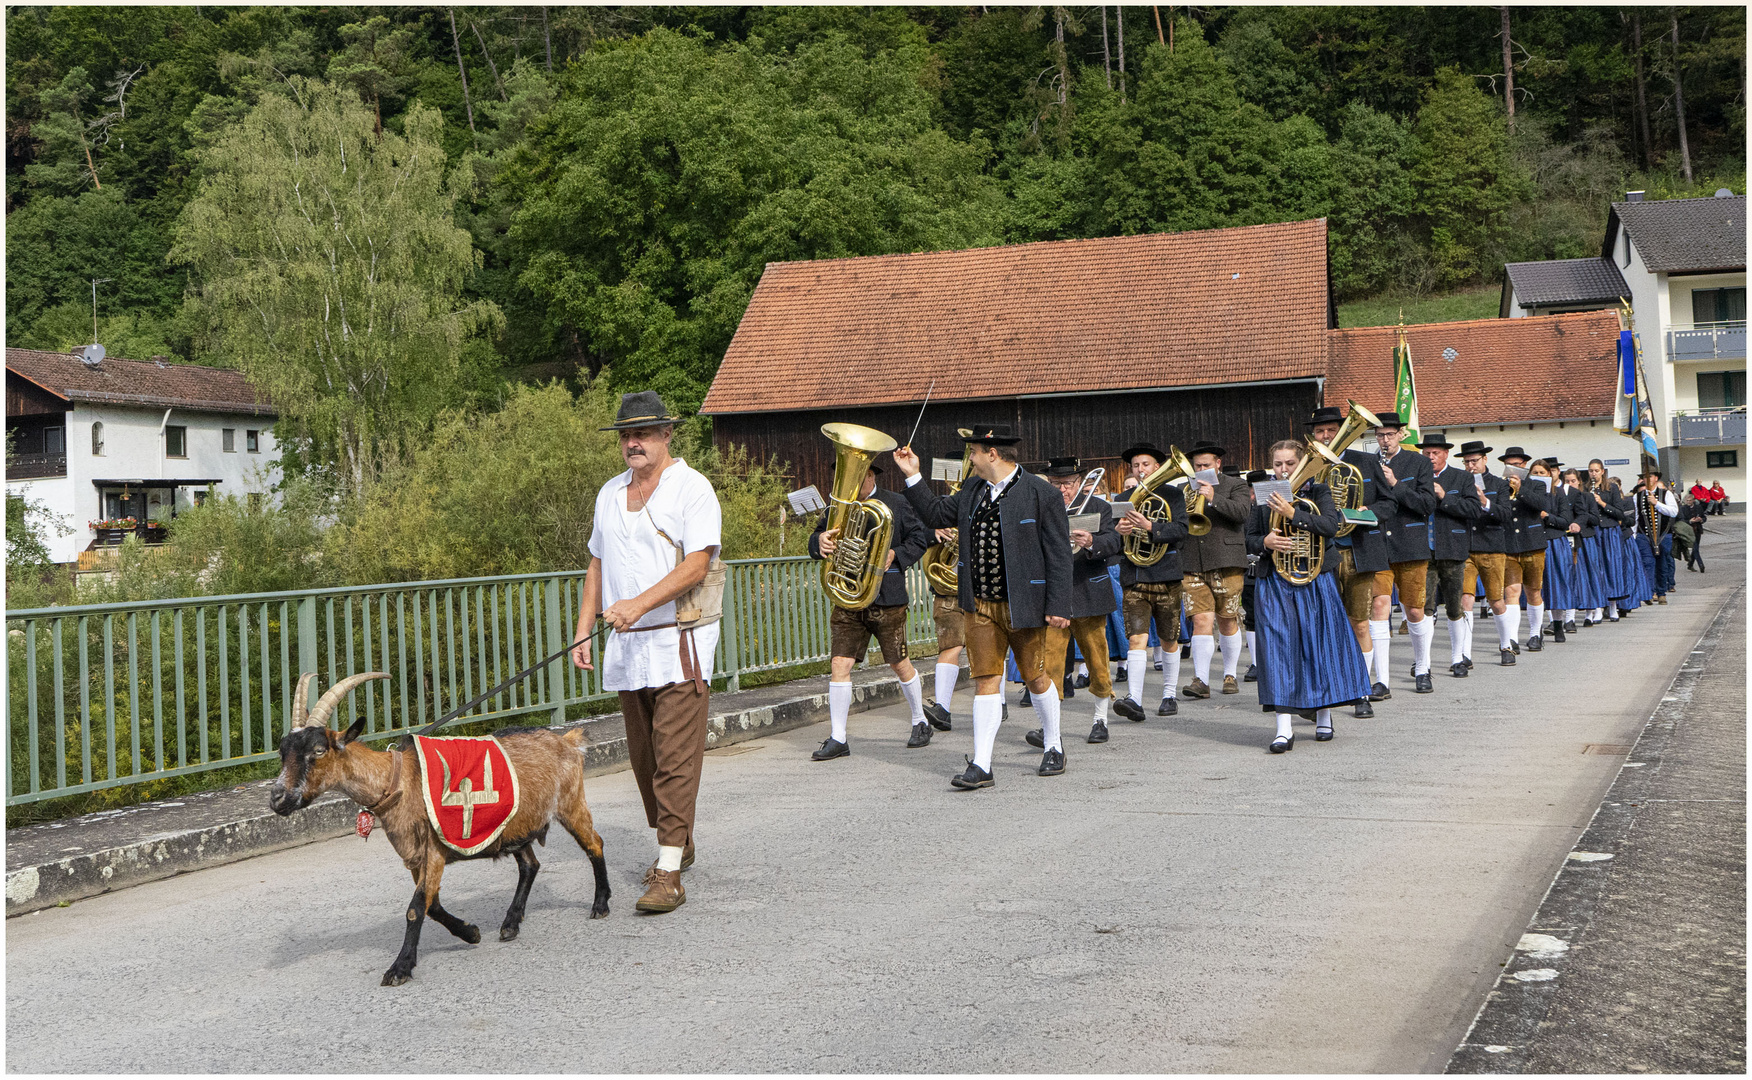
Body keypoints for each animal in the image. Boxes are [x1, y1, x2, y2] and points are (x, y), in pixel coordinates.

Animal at [266, 669, 609, 981]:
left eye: (318, 750)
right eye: (282, 751)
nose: (277, 798)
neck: (397, 781)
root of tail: (566, 739)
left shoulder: (434, 848)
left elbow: (416, 907)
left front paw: (400, 968)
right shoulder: (415, 856)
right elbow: (431, 906)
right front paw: (471, 932)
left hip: (570, 803)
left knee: (594, 843)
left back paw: (600, 904)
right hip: (513, 824)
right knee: (530, 864)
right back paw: (510, 924)